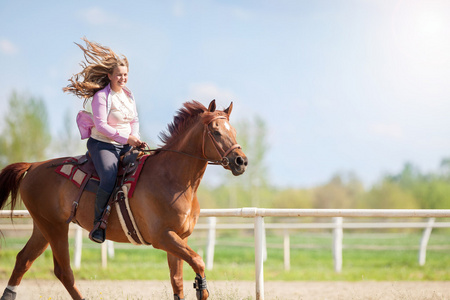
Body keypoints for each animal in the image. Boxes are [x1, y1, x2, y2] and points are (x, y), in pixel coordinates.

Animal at [0, 99, 246, 298]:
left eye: (233, 130)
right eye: (216, 131)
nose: (241, 161)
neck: (171, 178)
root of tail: (34, 166)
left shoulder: (179, 238)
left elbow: (177, 282)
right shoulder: (163, 237)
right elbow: (198, 262)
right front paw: (202, 287)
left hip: (42, 228)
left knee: (23, 260)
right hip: (55, 228)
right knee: (64, 272)